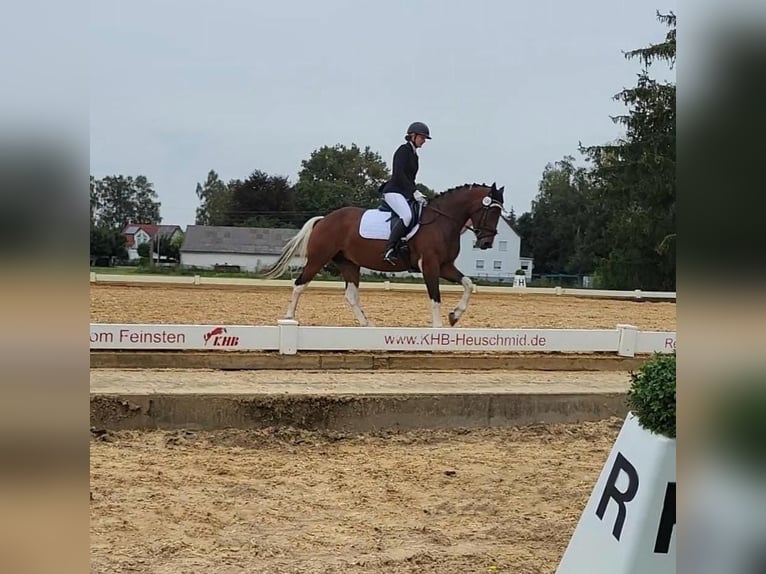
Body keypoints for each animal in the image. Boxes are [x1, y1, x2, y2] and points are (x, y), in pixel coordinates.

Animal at [258, 182, 508, 330]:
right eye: (490, 211)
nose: (486, 243)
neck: (442, 222)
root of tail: (324, 219)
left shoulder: (445, 266)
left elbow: (468, 283)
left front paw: (455, 316)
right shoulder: (430, 265)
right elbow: (435, 297)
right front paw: (438, 328)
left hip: (349, 264)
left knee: (351, 296)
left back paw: (367, 326)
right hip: (318, 259)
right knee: (299, 284)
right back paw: (289, 317)